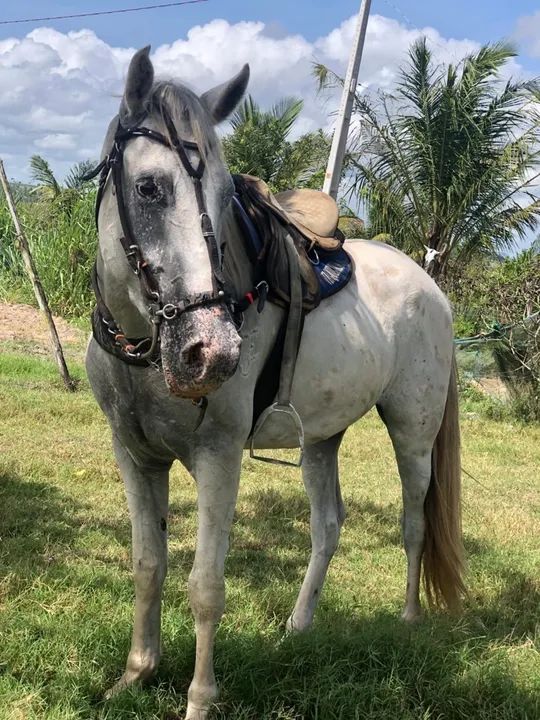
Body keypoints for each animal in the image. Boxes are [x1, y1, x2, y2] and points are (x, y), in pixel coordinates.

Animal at [85, 46, 465, 719]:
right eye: (149, 187)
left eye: (223, 194)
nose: (213, 353)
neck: (143, 350)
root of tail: (431, 287)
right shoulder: (134, 455)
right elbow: (148, 565)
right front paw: (136, 674)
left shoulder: (218, 456)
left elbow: (206, 585)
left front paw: (199, 699)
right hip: (322, 440)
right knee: (328, 526)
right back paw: (299, 626)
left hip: (413, 435)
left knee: (414, 520)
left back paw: (408, 619)